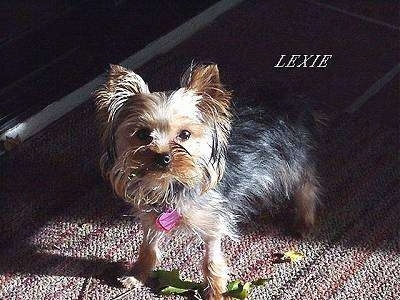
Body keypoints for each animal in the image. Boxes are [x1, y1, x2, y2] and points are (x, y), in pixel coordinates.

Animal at [93, 62, 318, 298]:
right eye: (143, 134)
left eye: (185, 134)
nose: (163, 157)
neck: (172, 183)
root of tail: (291, 99)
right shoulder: (151, 216)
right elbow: (148, 247)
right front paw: (137, 275)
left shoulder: (213, 223)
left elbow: (211, 261)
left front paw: (215, 292)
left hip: (292, 158)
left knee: (306, 185)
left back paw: (304, 221)